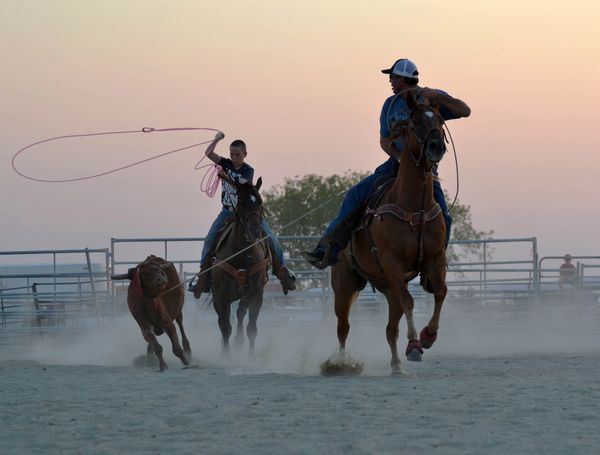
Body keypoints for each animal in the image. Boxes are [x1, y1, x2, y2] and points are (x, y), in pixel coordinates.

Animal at [210, 176, 268, 358]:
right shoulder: (220, 295)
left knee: (240, 313)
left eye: (260, 201)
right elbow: (224, 326)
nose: (254, 230)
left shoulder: (257, 294)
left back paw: (238, 341)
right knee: (224, 320)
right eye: (241, 202)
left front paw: (251, 357)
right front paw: (226, 357)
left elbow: (252, 329)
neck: (243, 255)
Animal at [332, 92, 446, 374]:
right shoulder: (392, 263)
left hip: (388, 287)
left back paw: (396, 364)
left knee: (389, 329)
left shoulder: (435, 258)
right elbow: (410, 301)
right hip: (344, 284)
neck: (414, 207)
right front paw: (415, 340)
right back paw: (340, 364)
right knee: (343, 327)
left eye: (440, 120)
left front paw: (428, 336)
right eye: (415, 122)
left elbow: (440, 291)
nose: (436, 147)